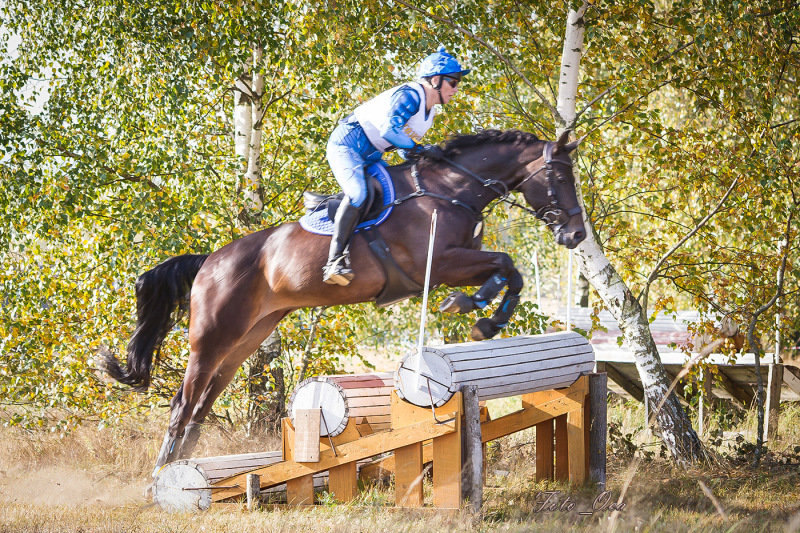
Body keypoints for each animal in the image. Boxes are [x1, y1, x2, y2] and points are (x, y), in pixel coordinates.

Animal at [103, 128, 584, 474]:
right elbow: (505, 263)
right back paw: (161, 475)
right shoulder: (440, 263)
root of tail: (209, 260)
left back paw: (182, 468)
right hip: (212, 336)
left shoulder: (458, 261)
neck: (452, 189)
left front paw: (486, 319)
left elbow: (510, 271)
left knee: (203, 402)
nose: (576, 235)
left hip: (248, 337)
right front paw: (475, 310)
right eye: (561, 178)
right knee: (183, 403)